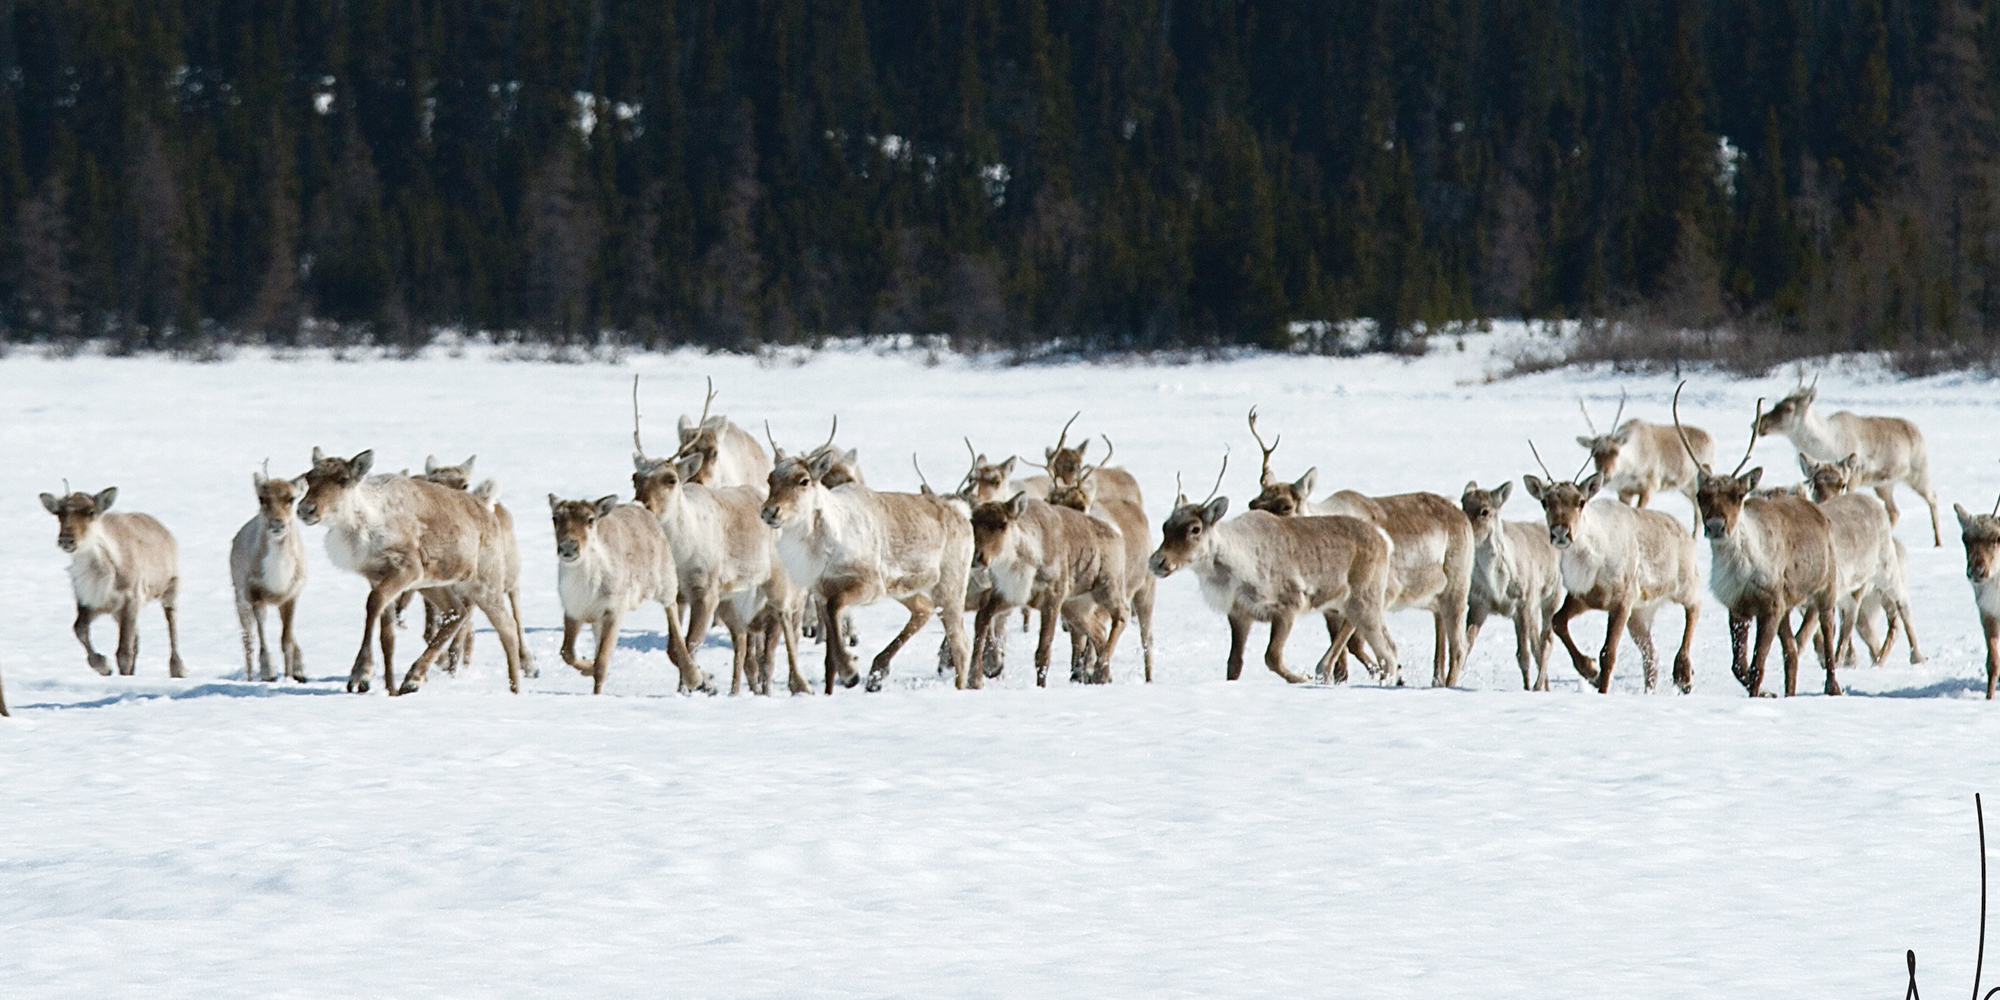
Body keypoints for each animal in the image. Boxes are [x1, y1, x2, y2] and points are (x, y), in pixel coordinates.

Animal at [41, 486, 186, 676]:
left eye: (92, 512)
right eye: (59, 513)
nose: (66, 539)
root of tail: (166, 531)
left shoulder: (131, 599)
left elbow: (123, 652)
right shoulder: (89, 601)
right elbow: (79, 629)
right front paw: (103, 665)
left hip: (171, 588)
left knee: (171, 622)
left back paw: (178, 668)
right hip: (118, 613)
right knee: (137, 641)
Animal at [230, 472, 308, 684]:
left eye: (291, 498)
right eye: (262, 498)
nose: (277, 523)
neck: (277, 579)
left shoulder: (291, 596)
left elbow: (286, 640)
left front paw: (289, 675)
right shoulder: (256, 594)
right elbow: (261, 633)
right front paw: (269, 672)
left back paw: (300, 670)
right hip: (240, 599)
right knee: (248, 639)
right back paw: (249, 678)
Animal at [548, 494, 704, 696]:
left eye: (590, 519)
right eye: (555, 518)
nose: (568, 547)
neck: (587, 587)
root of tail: (643, 508)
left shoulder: (614, 610)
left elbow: (601, 663)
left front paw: (596, 691)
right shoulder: (574, 611)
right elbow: (567, 653)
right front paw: (587, 666)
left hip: (666, 581)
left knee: (673, 614)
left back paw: (694, 676)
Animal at [1456, 482, 1560, 688]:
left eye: (1485, 511)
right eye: (1463, 505)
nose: (1466, 530)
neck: (1497, 584)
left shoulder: (1522, 605)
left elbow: (1523, 656)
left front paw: (1527, 688)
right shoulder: (1479, 605)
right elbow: (1466, 646)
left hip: (1550, 600)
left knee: (1546, 642)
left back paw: (1539, 686)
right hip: (1533, 610)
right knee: (1537, 646)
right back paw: (1544, 686)